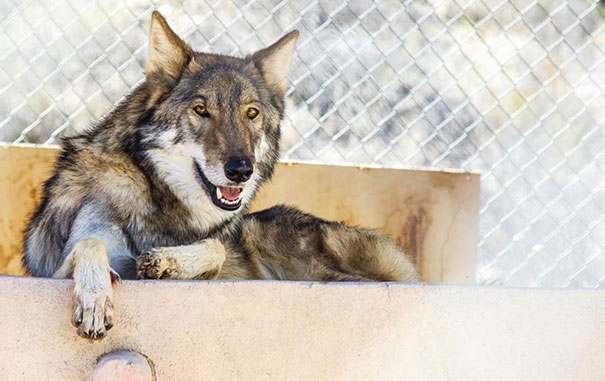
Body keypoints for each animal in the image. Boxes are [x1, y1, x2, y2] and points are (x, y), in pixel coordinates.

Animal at [24, 11, 420, 338]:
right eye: (201, 110)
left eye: (251, 113)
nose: (240, 170)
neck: (157, 194)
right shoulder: (55, 270)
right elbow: (91, 245)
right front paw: (94, 298)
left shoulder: (216, 249)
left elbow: (215, 246)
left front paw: (169, 262)